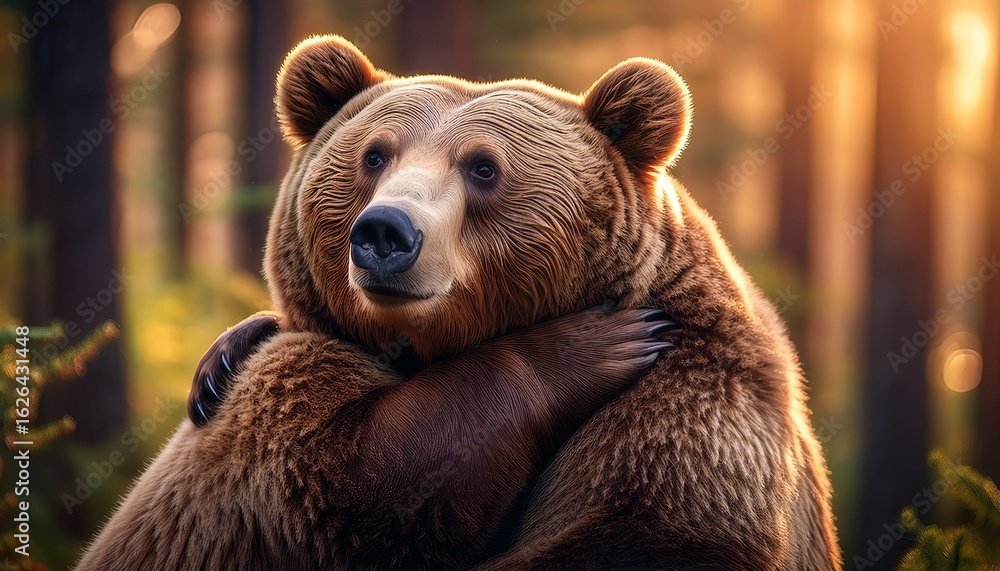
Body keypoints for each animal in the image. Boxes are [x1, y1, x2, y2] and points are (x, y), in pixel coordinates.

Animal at [85, 34, 843, 570]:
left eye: (484, 166)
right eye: (375, 155)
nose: (385, 233)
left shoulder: (690, 405)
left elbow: (635, 529)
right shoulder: (290, 404)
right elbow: (368, 476)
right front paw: (581, 349)